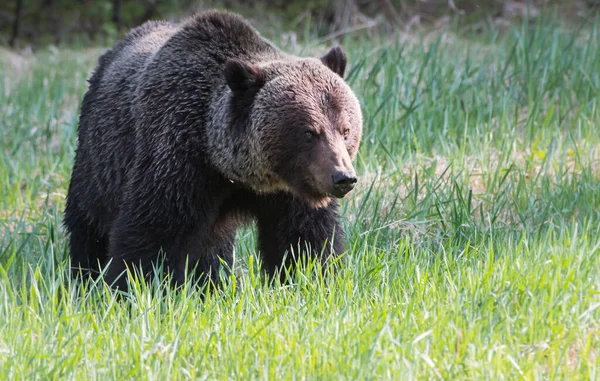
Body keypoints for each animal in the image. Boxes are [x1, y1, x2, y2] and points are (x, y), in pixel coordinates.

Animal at [65, 8, 366, 290]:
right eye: (308, 132)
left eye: (345, 129)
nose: (343, 177)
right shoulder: (177, 157)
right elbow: (153, 231)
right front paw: (134, 286)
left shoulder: (291, 190)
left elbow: (303, 239)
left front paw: (311, 279)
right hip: (100, 155)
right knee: (87, 221)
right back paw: (84, 275)